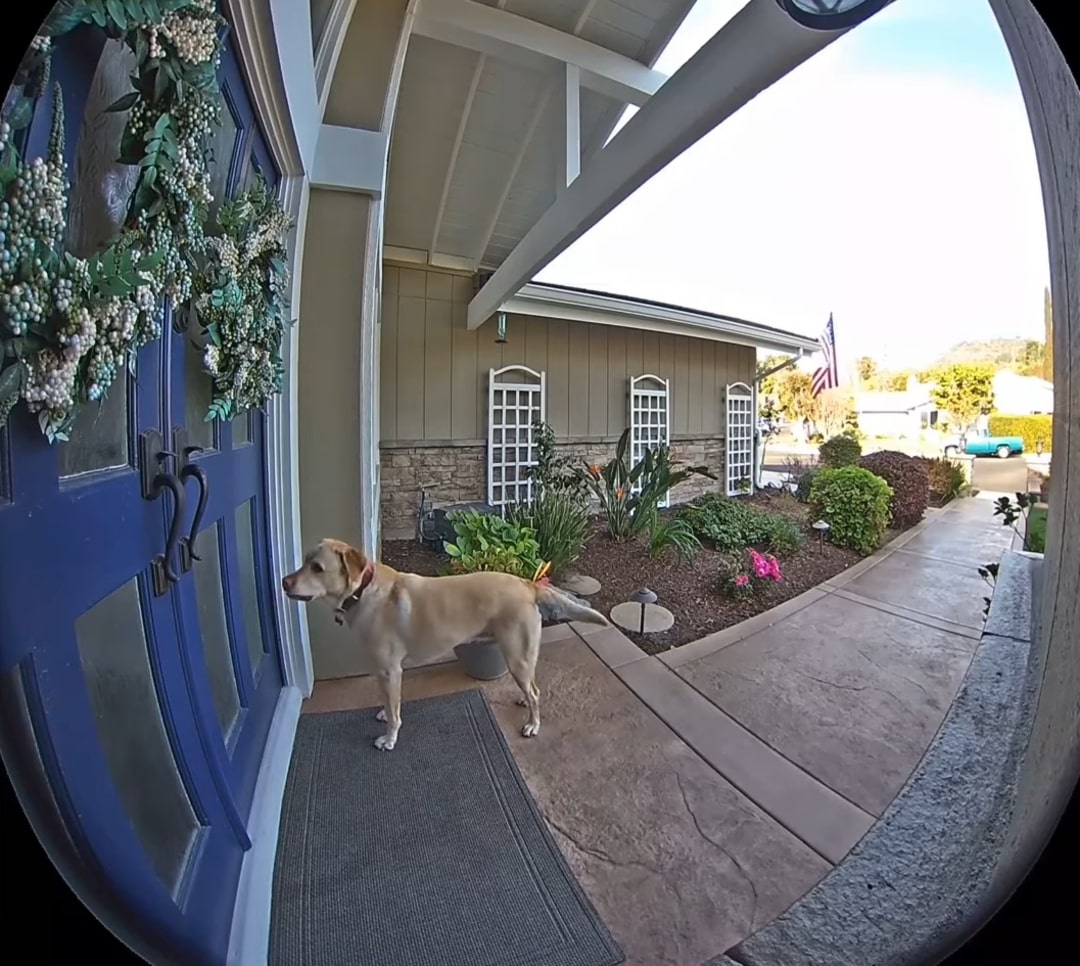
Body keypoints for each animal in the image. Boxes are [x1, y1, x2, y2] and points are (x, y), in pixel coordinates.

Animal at [282, 540, 613, 752]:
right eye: (304, 561)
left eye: (317, 568)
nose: (284, 582)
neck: (363, 591)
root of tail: (527, 584)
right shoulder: (382, 672)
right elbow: (388, 702)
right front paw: (383, 713)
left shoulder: (390, 670)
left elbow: (395, 712)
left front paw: (389, 738)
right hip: (520, 657)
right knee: (531, 687)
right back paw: (524, 702)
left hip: (516, 655)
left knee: (535, 692)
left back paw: (533, 724)